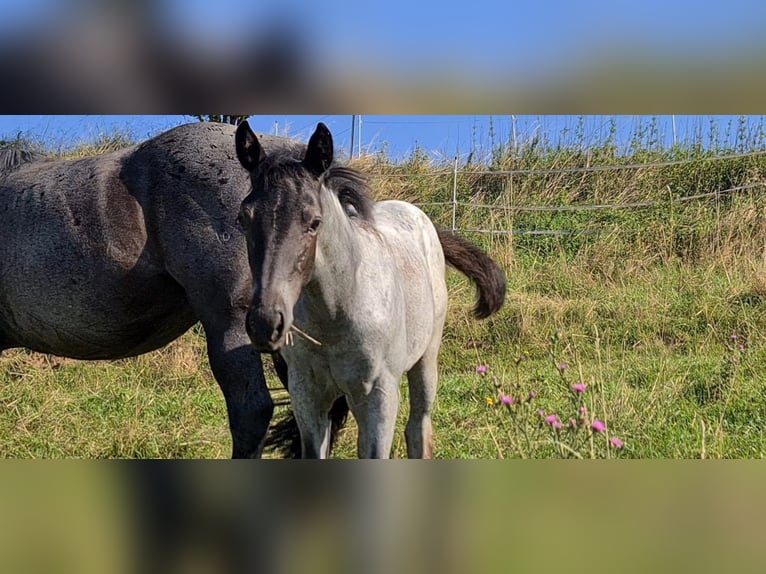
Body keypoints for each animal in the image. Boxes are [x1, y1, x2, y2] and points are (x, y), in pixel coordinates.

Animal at [237, 121, 508, 460]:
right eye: (243, 218)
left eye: (314, 222)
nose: (265, 323)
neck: (336, 314)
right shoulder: (307, 396)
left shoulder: (380, 396)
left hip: (425, 361)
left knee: (418, 427)